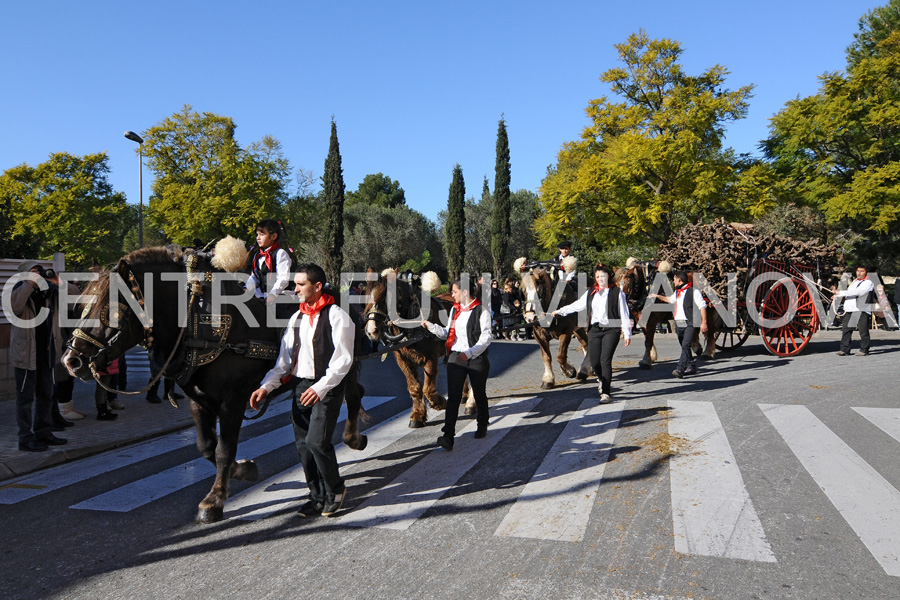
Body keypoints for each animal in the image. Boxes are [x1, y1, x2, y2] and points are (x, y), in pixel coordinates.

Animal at [62, 241, 366, 524]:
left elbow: (223, 450)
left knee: (353, 394)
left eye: (110, 310)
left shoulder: (232, 401)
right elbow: (207, 446)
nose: (71, 360)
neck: (197, 323)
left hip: (346, 365)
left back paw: (353, 438)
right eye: (83, 306)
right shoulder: (199, 400)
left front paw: (214, 499)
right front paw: (241, 470)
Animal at [512, 256, 592, 390]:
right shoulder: (539, 335)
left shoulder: (566, 332)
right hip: (579, 328)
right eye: (522, 291)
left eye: (539, 290)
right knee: (585, 343)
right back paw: (586, 370)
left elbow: (560, 355)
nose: (530, 317)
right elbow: (546, 356)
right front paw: (548, 379)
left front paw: (569, 371)